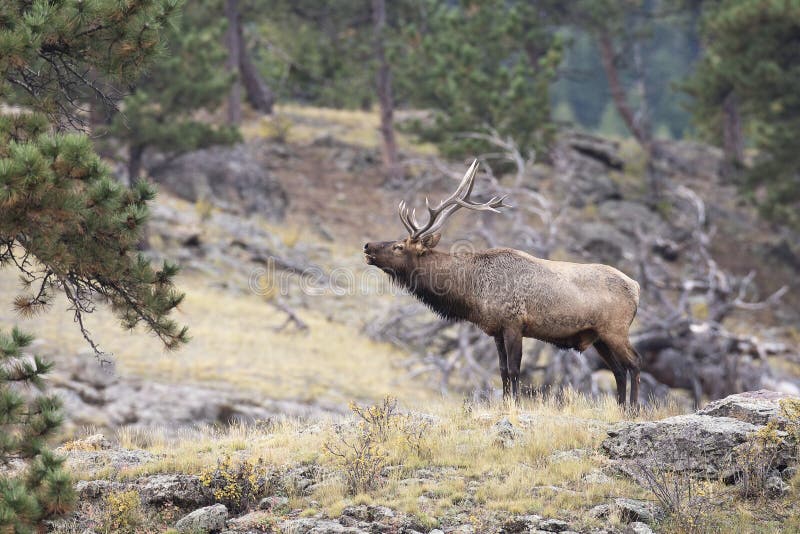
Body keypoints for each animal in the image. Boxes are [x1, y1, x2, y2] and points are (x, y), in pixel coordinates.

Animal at [364, 160, 643, 405]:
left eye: (399, 246)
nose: (367, 245)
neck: (472, 292)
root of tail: (636, 287)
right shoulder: (495, 329)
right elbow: (501, 370)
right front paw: (505, 403)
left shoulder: (514, 324)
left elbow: (515, 369)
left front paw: (515, 404)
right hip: (599, 336)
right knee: (618, 369)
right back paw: (620, 406)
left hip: (615, 329)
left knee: (634, 362)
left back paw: (633, 407)